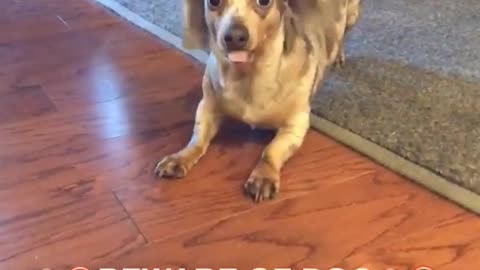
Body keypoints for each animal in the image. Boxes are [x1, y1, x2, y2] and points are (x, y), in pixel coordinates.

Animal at [156, 0, 362, 202]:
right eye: (214, 2)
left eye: (264, 2)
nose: (235, 36)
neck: (248, 74)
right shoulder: (207, 108)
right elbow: (197, 139)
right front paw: (180, 157)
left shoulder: (295, 127)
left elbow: (270, 151)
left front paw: (263, 176)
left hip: (352, 15)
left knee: (342, 36)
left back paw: (338, 55)